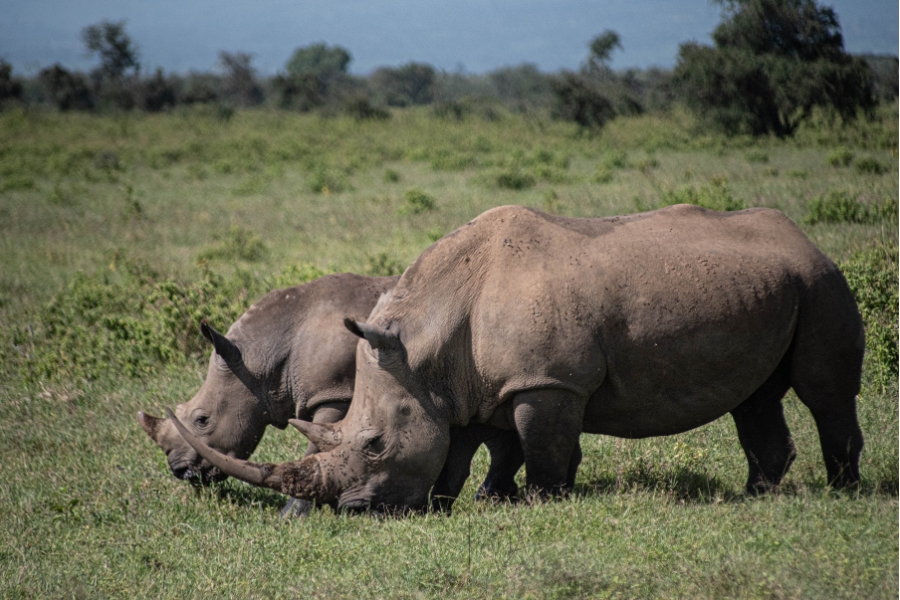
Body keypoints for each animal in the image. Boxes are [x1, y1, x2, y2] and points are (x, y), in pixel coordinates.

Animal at [170, 204, 865, 513]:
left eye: (372, 444)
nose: (353, 510)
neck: (424, 339)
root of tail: (805, 235)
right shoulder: (454, 385)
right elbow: (457, 447)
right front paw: (449, 503)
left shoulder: (547, 382)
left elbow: (545, 447)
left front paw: (546, 503)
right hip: (774, 283)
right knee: (757, 398)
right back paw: (759, 496)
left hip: (821, 280)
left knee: (824, 391)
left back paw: (844, 493)